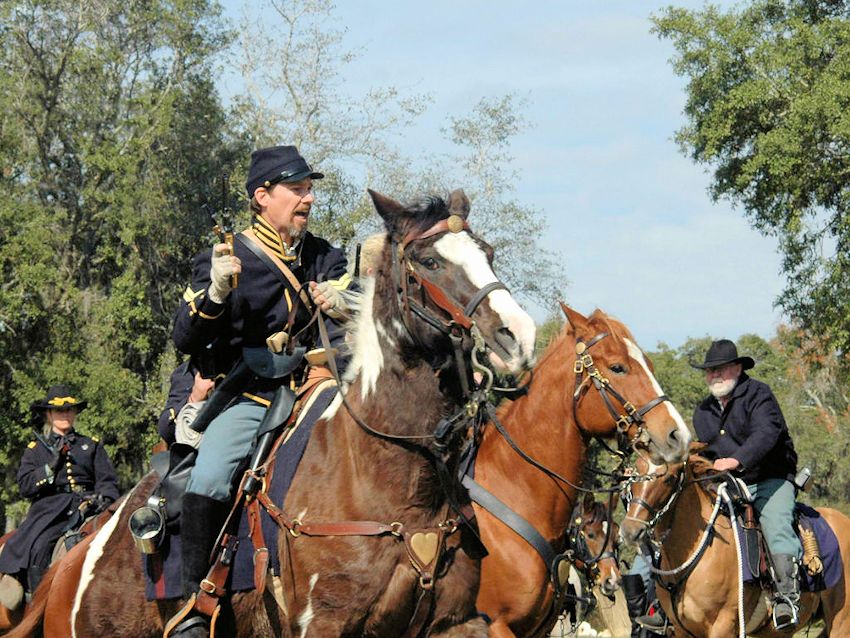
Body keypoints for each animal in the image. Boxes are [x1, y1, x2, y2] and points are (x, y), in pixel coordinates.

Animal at [9, 190, 532, 638]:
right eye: (429, 261)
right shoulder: (323, 624)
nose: (517, 336)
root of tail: (76, 559)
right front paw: (221, 277)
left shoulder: (455, 622)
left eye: (487, 253)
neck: (392, 472)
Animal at [616, 450, 848, 638]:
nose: (630, 530)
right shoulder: (682, 631)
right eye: (634, 476)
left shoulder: (722, 625)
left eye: (669, 478)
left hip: (841, 622)